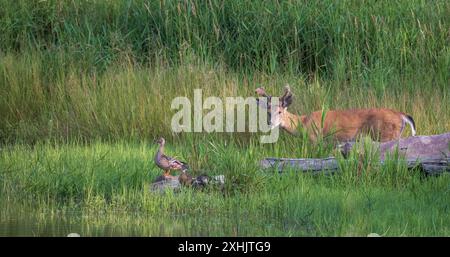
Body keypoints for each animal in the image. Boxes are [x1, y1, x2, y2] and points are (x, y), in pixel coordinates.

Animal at [255, 85, 416, 142]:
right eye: (267, 112)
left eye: (280, 111)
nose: (270, 123)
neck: (303, 123)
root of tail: (401, 115)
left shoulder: (315, 138)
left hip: (386, 134)